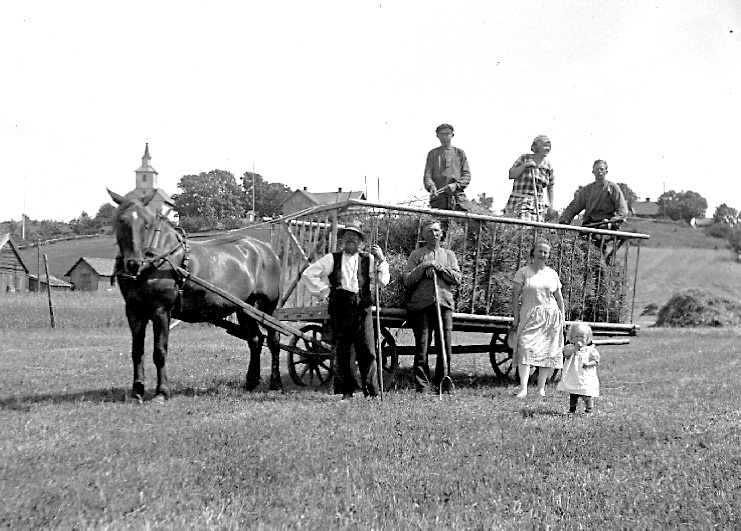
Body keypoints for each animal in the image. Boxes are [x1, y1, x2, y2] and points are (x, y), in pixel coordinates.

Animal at [108, 189, 283, 402]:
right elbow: (137, 351)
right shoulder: (133, 311)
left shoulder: (161, 311)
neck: (157, 259)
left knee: (273, 340)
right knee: (255, 340)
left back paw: (275, 384)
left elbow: (159, 351)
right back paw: (251, 382)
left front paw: (162, 392)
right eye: (121, 221)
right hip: (244, 308)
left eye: (146, 223)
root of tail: (266, 250)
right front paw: (136, 391)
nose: (133, 264)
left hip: (268, 306)